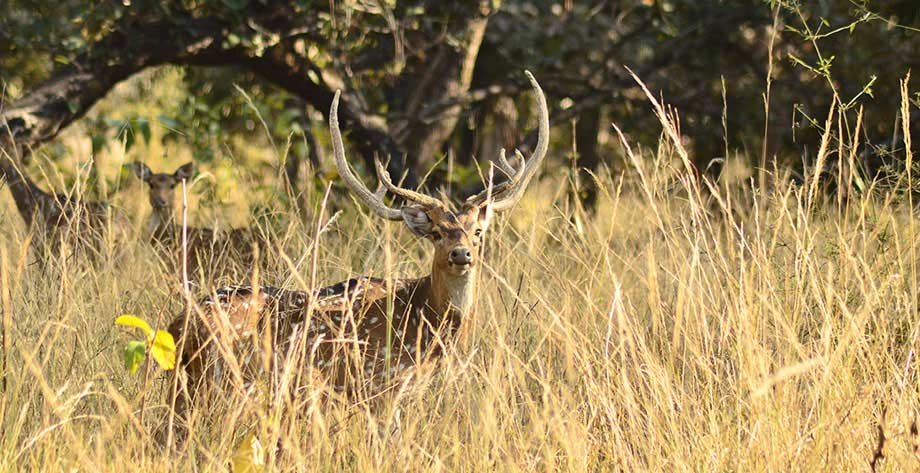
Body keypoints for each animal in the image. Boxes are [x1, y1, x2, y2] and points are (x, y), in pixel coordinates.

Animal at [164, 72, 548, 426]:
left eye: (477, 232)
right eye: (437, 233)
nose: (461, 254)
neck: (427, 327)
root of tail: (178, 325)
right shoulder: (380, 383)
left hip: (188, 386)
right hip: (234, 380)